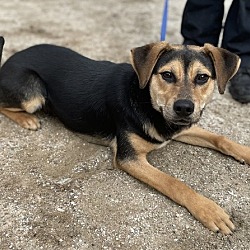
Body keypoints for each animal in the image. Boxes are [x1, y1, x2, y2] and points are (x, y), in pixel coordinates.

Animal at [0, 37, 250, 234]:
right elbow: (174, 183)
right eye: (167, 75)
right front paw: (209, 210)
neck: (147, 101)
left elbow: (220, 138)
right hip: (33, 96)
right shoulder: (129, 158)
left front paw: (245, 152)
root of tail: (9, 60)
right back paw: (28, 120)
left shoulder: (180, 127)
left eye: (202, 78)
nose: (184, 108)